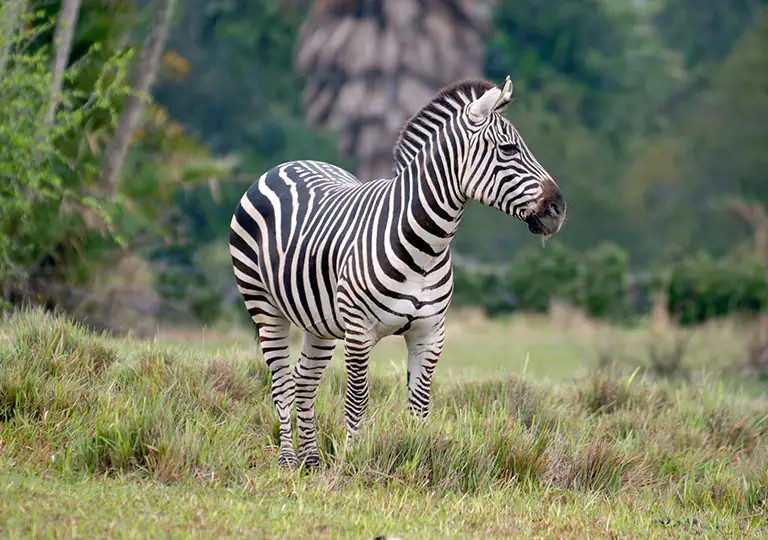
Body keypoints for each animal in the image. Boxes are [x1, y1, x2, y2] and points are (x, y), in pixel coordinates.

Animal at [228, 76, 566, 468]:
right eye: (509, 149)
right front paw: (352, 462)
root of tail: (287, 164)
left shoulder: (430, 333)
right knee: (282, 382)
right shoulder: (359, 332)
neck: (426, 247)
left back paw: (311, 462)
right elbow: (357, 399)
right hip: (264, 307)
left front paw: (416, 459)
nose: (559, 208)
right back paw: (287, 461)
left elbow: (419, 404)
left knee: (304, 381)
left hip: (319, 322)